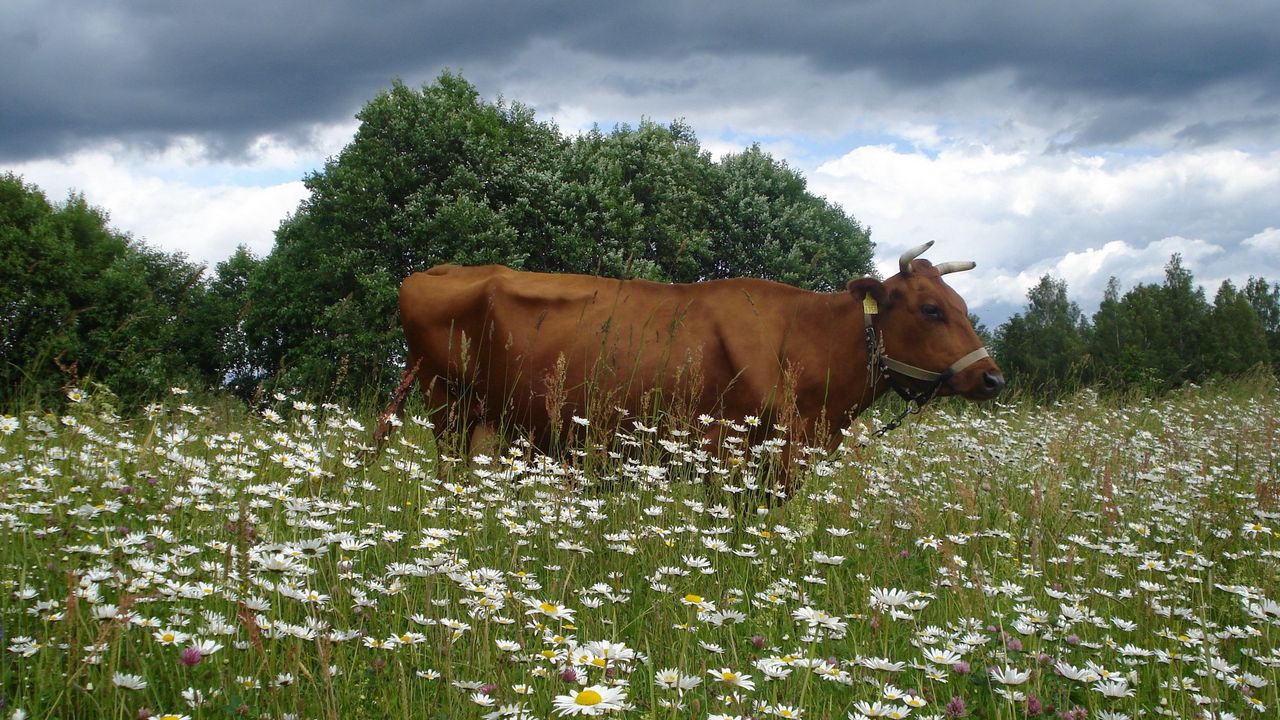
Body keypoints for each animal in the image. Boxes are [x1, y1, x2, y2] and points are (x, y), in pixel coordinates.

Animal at [373, 239, 1003, 486]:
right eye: (931, 309)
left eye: (961, 303)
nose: (992, 376)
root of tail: (438, 269)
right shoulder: (729, 452)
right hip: (449, 409)